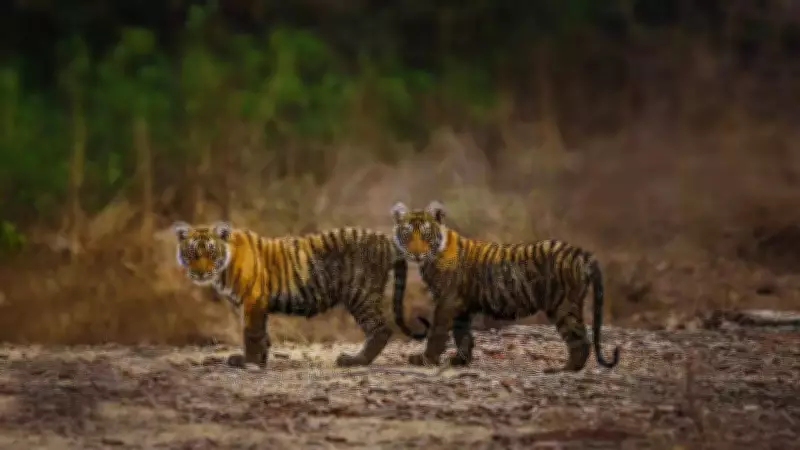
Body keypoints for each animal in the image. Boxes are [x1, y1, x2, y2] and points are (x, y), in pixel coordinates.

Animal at [172, 220, 427, 369]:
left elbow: (251, 333)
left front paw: (248, 362)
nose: (200, 272)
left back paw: (354, 360)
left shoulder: (253, 300)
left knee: (380, 329)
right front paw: (261, 359)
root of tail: (386, 240)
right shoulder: (257, 305)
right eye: (192, 253)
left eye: (211, 252)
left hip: (361, 294)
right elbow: (262, 333)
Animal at [390, 201, 620, 373]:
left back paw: (563, 369)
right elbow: (462, 334)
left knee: (580, 339)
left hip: (563, 305)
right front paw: (460, 361)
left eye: (425, 235)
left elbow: (438, 332)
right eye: (407, 235)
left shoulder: (447, 300)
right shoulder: (461, 305)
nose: (416, 253)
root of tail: (581, 253)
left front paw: (426, 360)